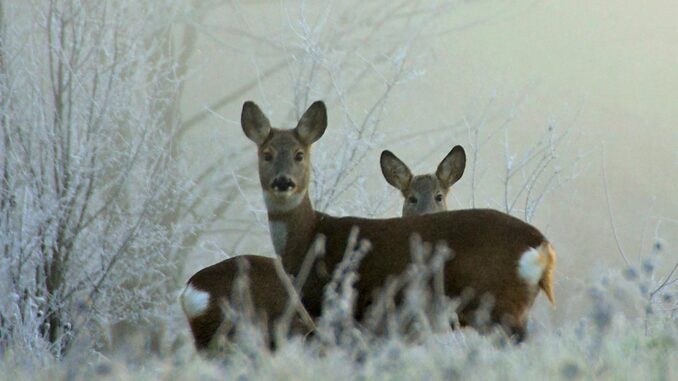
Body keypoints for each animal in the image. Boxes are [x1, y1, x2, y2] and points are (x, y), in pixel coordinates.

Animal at [242, 99, 556, 340]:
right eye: (266, 154)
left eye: (299, 155)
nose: (283, 182)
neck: (309, 237)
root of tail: (542, 245)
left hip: (500, 307)